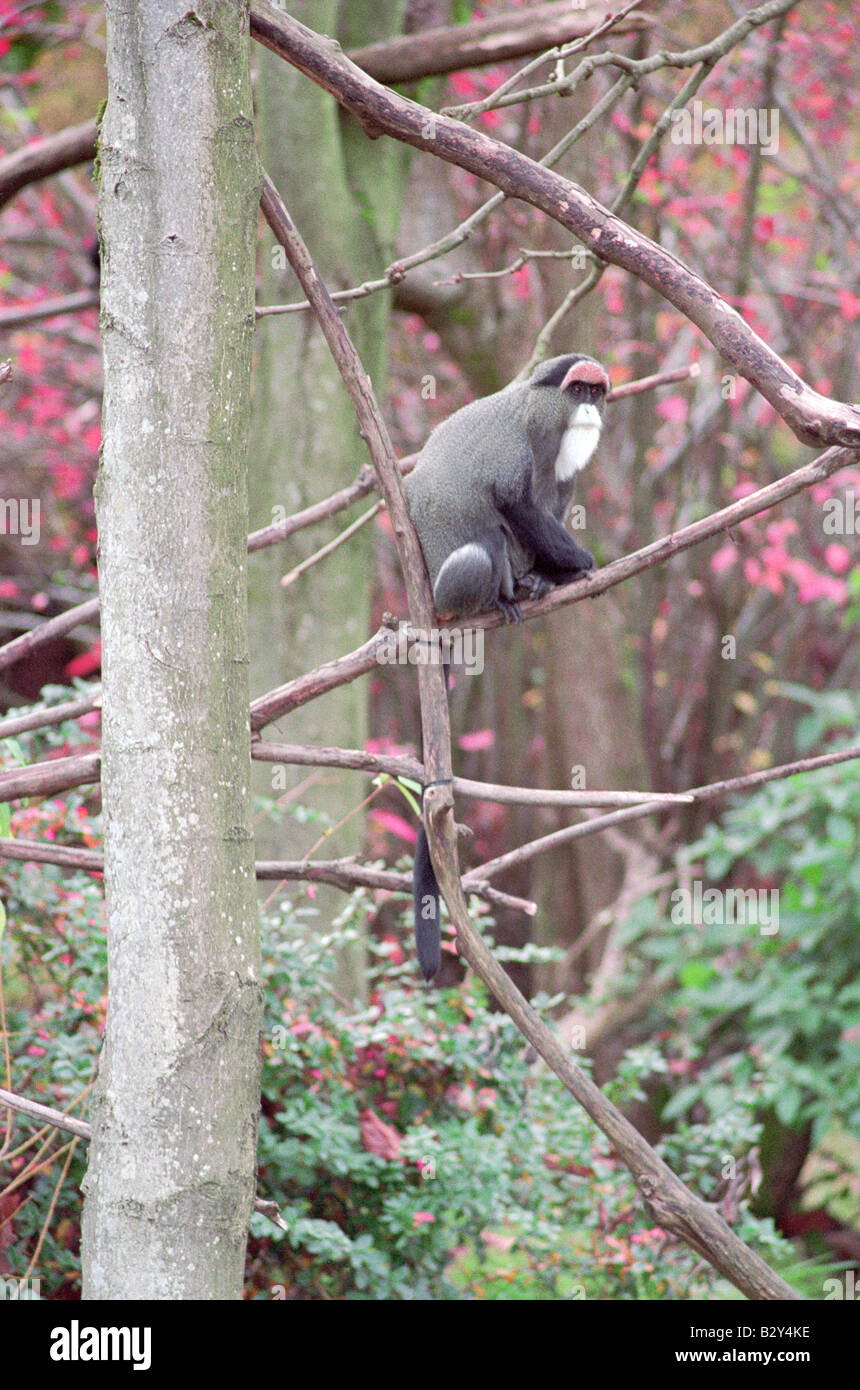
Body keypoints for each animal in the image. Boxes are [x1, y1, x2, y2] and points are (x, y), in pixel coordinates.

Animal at [404, 353, 610, 979]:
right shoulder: (516, 449)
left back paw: (537, 582)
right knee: (486, 544)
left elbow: (545, 508)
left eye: (598, 392)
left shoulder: (560, 475)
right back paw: (506, 595)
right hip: (454, 587)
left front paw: (559, 571)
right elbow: (514, 503)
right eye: (578, 390)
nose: (590, 409)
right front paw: (581, 562)